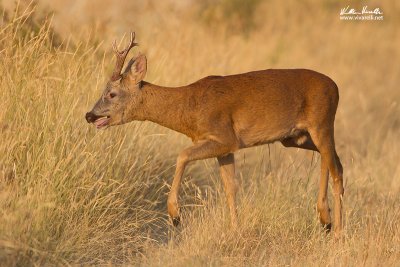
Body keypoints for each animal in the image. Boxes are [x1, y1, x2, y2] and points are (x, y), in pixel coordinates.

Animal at [84, 33, 344, 237]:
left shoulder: (224, 137)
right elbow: (230, 188)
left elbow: (182, 155)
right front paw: (235, 230)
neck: (189, 108)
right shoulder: (225, 148)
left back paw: (337, 232)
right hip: (294, 137)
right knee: (334, 162)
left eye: (112, 94)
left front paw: (175, 215)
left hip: (322, 123)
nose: (89, 114)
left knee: (336, 170)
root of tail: (335, 86)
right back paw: (325, 219)